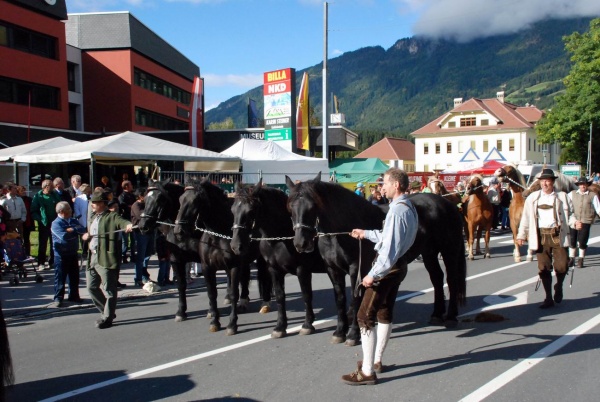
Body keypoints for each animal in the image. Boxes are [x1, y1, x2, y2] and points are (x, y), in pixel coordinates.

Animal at [172, 177, 268, 334]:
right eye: (180, 199)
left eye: (195, 200)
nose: (178, 231)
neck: (217, 234)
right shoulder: (207, 267)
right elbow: (212, 293)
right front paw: (215, 321)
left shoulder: (234, 266)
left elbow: (234, 293)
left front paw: (232, 324)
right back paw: (244, 302)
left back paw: (265, 303)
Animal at [231, 182, 350, 342]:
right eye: (232, 210)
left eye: (250, 211)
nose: (236, 246)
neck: (281, 237)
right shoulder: (274, 270)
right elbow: (280, 297)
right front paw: (280, 327)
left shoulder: (302, 270)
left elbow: (306, 295)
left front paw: (307, 325)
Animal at [288, 175, 468, 340]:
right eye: (290, 208)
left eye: (313, 206)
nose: (301, 243)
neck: (341, 231)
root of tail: (448, 204)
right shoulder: (333, 270)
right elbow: (340, 300)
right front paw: (339, 332)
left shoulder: (357, 269)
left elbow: (356, 299)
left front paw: (353, 334)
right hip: (429, 253)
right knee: (437, 278)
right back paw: (436, 314)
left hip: (449, 252)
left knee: (451, 280)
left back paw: (450, 317)